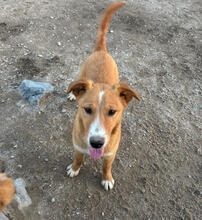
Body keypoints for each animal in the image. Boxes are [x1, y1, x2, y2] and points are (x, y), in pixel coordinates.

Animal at [66, 1, 140, 190]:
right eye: (87, 109)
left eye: (112, 112)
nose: (96, 142)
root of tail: (101, 50)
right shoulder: (78, 146)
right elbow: (78, 159)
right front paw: (74, 168)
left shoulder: (110, 153)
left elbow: (106, 166)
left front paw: (106, 178)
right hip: (81, 74)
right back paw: (73, 94)